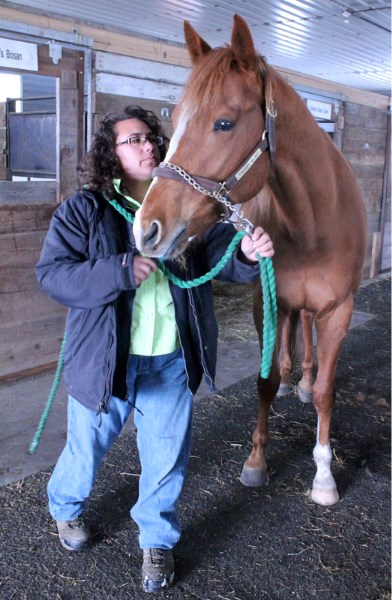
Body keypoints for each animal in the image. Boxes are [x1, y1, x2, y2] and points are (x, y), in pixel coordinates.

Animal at [135, 14, 368, 504]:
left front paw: (324, 475)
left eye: (224, 123)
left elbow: (326, 391)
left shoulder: (339, 311)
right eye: (175, 119)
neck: (313, 222)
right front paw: (257, 461)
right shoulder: (266, 303)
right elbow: (264, 382)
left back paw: (302, 382)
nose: (146, 228)